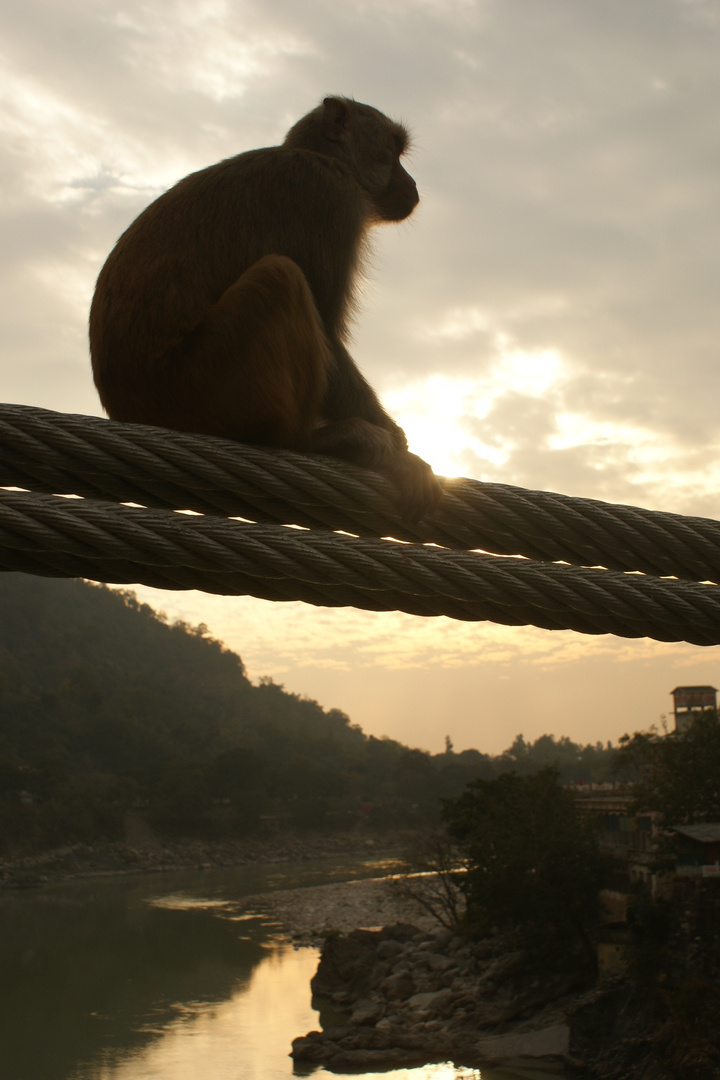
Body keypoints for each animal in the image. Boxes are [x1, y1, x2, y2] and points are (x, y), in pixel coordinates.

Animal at [90, 95, 440, 520]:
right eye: (395, 150)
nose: (413, 185)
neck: (317, 155)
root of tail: (131, 410)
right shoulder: (328, 195)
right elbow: (328, 333)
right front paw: (401, 451)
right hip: (199, 381)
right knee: (281, 275)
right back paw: (309, 441)